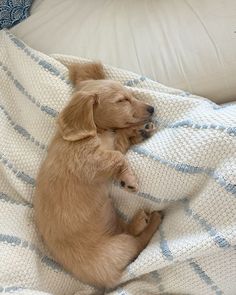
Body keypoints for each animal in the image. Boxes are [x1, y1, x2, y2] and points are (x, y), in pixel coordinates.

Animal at [34, 62, 163, 290]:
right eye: (122, 100)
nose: (152, 108)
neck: (96, 132)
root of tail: (106, 281)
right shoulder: (90, 161)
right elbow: (118, 157)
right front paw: (129, 180)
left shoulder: (112, 146)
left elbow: (120, 141)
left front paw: (139, 131)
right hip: (117, 248)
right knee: (138, 243)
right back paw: (152, 220)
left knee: (127, 230)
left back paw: (139, 220)